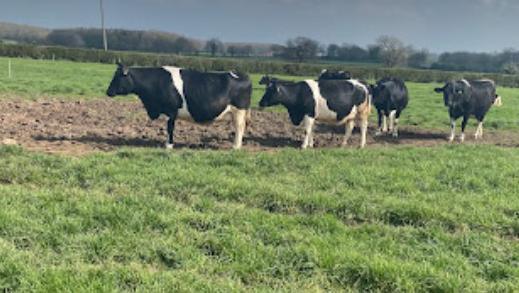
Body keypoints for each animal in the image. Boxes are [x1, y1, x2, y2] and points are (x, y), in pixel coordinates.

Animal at [105, 62, 252, 148]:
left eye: (117, 77)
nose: (108, 92)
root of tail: (241, 75)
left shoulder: (171, 111)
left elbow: (170, 128)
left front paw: (169, 145)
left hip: (239, 111)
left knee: (239, 128)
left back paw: (235, 147)